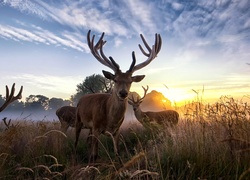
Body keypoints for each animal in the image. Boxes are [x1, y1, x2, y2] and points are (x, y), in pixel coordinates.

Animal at [74, 29, 162, 163]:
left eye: (130, 81)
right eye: (115, 80)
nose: (123, 93)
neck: (110, 120)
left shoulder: (117, 130)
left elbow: (117, 153)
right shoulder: (96, 127)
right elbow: (95, 155)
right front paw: (92, 163)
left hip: (89, 128)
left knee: (88, 141)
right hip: (78, 120)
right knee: (76, 142)